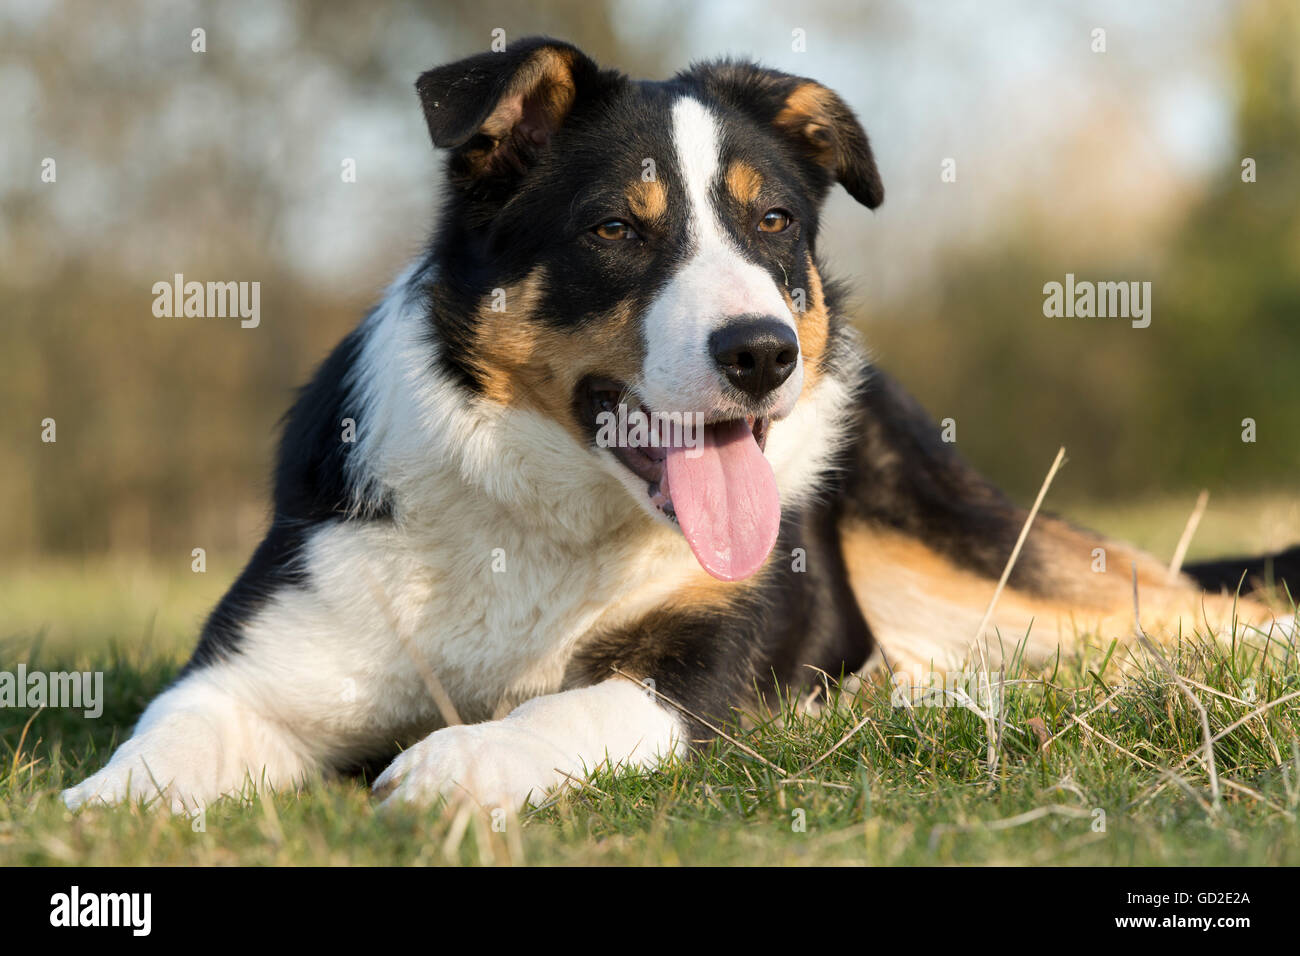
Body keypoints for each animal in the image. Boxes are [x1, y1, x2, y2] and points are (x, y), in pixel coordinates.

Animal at [63, 39, 1300, 816]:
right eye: (616, 227)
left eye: (774, 221)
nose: (763, 352)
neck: (538, 515)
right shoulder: (255, 663)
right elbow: (167, 736)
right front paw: (104, 802)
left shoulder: (697, 675)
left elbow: (579, 707)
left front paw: (464, 760)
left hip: (966, 540)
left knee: (1202, 615)